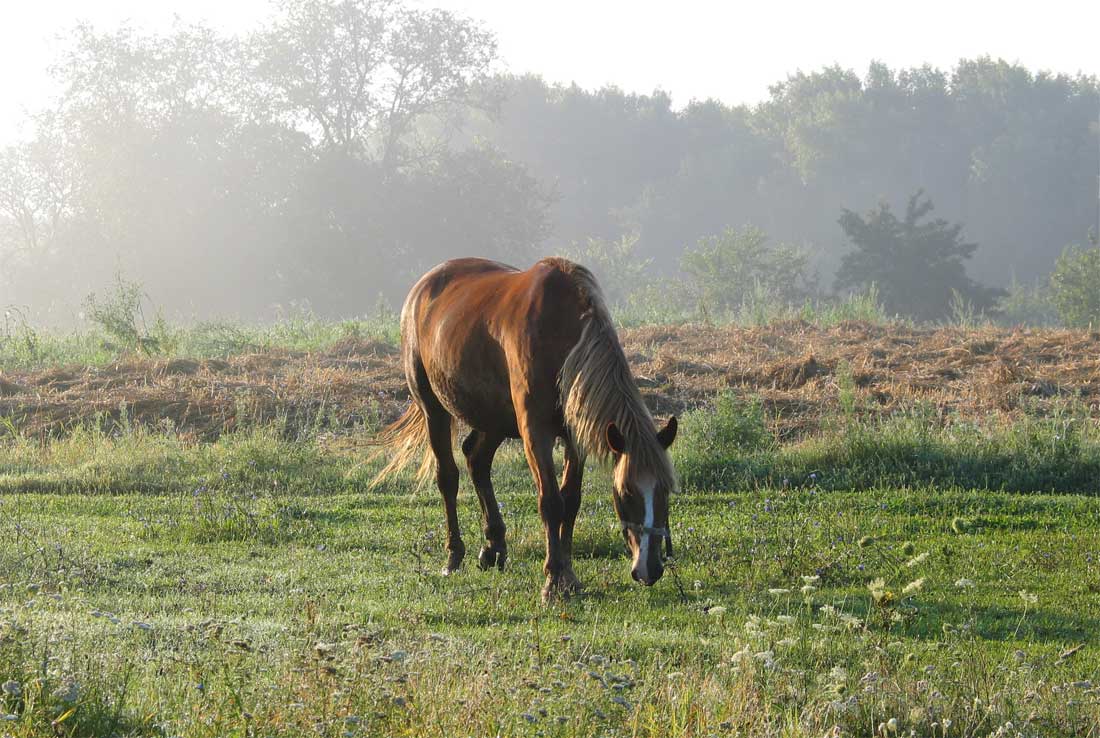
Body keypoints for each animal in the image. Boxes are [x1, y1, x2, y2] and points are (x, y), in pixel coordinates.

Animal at [374, 257, 673, 602]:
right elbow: (551, 502)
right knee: (448, 477)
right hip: (434, 409)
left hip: (494, 420)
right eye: (626, 492)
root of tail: (422, 287)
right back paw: (454, 555)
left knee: (476, 460)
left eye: (665, 490)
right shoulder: (535, 431)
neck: (562, 332)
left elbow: (571, 501)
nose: (650, 568)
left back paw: (493, 547)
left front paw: (568, 574)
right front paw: (553, 578)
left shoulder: (574, 435)